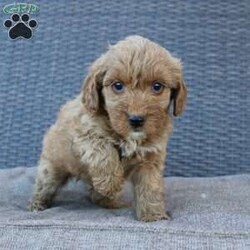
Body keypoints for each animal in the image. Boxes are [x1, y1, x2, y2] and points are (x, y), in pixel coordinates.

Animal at [29, 35, 187, 221]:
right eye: (118, 86)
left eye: (157, 86)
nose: (136, 119)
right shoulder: (84, 134)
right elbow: (103, 150)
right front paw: (111, 183)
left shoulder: (150, 157)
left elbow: (150, 185)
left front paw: (153, 215)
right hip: (52, 167)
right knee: (45, 185)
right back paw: (37, 205)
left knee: (94, 193)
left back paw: (110, 201)